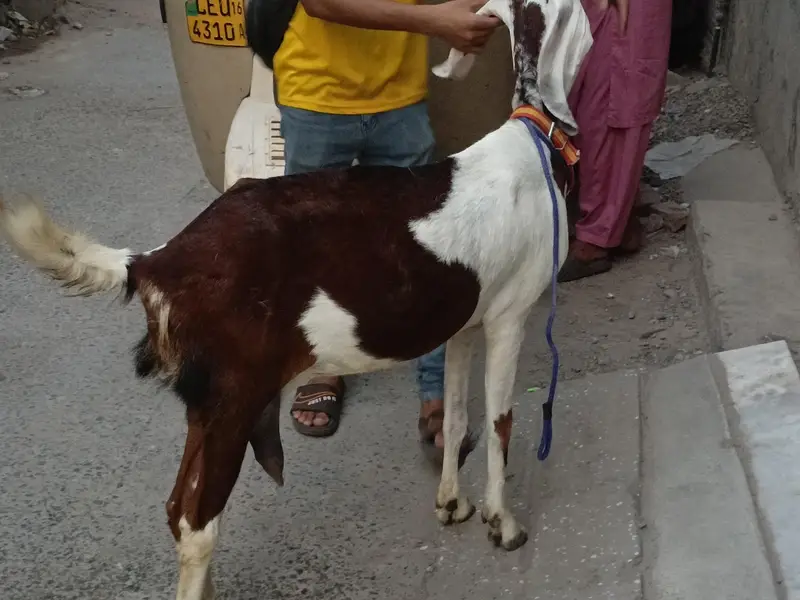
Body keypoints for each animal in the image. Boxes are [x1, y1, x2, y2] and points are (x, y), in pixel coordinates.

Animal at [0, 0, 592, 598]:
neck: (531, 138)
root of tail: (156, 261)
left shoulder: (465, 325)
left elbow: (455, 418)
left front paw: (452, 503)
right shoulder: (509, 317)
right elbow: (500, 423)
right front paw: (503, 523)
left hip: (207, 402)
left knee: (174, 511)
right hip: (234, 397)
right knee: (195, 524)